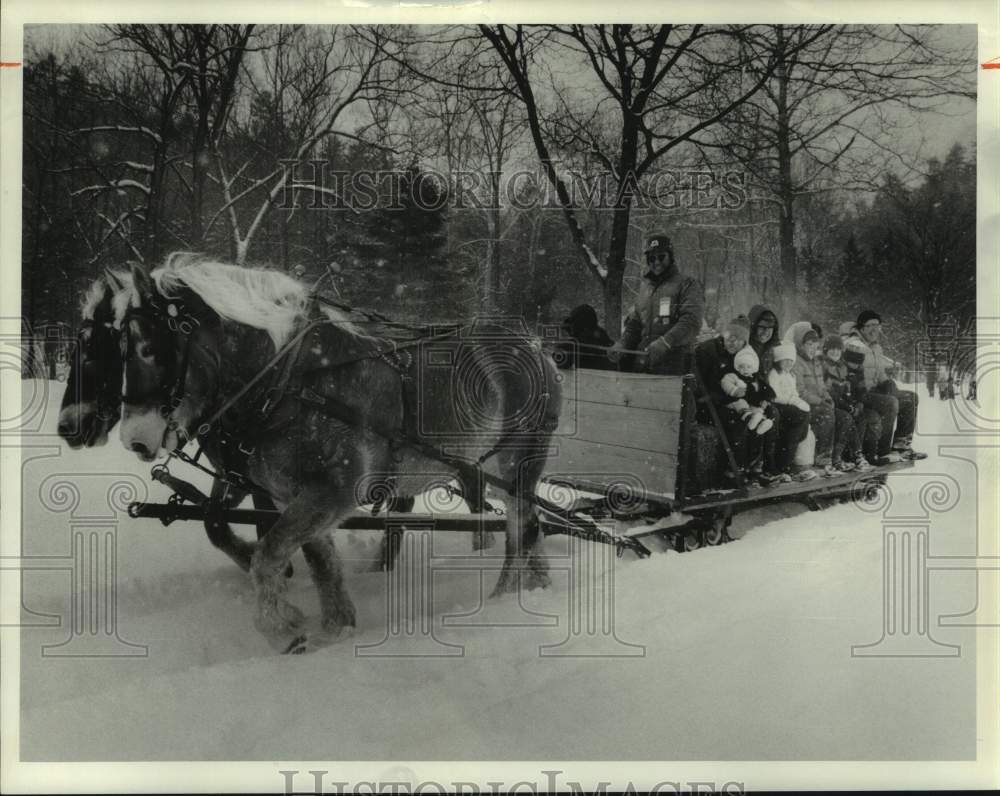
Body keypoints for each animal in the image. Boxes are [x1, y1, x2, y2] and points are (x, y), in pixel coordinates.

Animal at [117, 255, 564, 652]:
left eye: (149, 349)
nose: (133, 440)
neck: (296, 382)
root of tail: (536, 346)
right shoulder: (292, 496)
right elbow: (321, 562)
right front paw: (336, 628)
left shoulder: (335, 490)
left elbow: (269, 554)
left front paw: (282, 628)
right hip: (486, 468)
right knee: (530, 522)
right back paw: (539, 585)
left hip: (518, 460)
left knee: (520, 528)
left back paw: (503, 599)